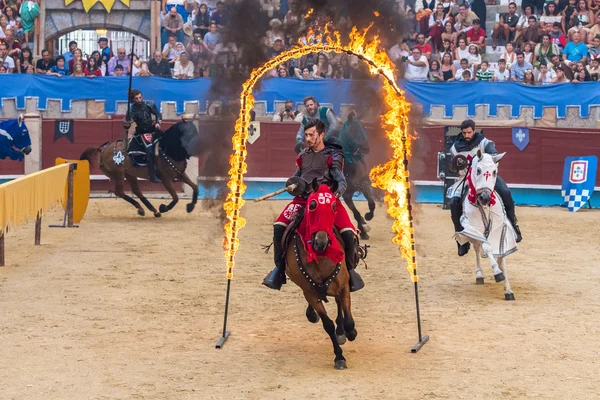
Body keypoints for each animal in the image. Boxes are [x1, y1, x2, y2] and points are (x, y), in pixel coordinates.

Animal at [282, 180, 354, 370]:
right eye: (312, 205)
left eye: (334, 206)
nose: (320, 242)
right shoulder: (309, 292)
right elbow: (327, 324)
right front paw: (339, 357)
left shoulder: (343, 286)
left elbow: (348, 318)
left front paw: (350, 332)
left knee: (338, 303)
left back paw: (342, 331)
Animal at [338, 111, 376, 239]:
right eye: (353, 129)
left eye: (363, 128)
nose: (366, 148)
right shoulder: (347, 195)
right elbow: (356, 213)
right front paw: (363, 231)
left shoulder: (364, 185)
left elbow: (372, 204)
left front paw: (368, 217)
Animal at [458, 150, 516, 300]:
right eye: (478, 170)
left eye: (494, 172)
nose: (485, 197)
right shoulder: (474, 228)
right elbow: (487, 247)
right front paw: (497, 273)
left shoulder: (500, 229)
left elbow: (502, 256)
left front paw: (508, 290)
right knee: (477, 249)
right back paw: (479, 275)